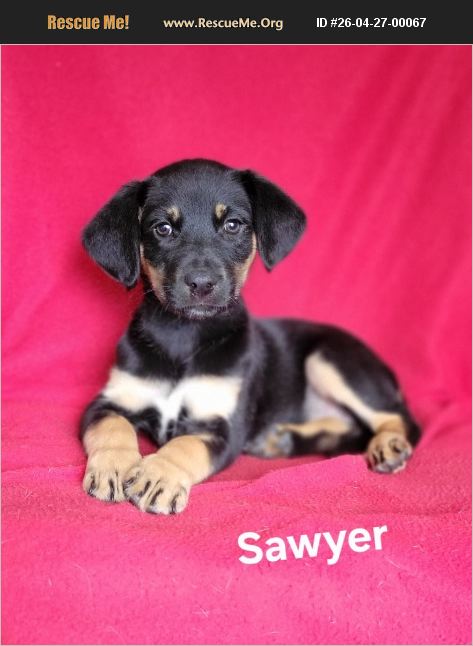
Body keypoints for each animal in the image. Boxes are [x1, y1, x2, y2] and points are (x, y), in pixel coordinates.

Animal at [80, 159, 421, 514]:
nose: (201, 284)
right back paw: (283, 441)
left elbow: (185, 445)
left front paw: (159, 475)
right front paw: (114, 467)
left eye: (232, 225)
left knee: (402, 420)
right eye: (163, 228)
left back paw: (388, 445)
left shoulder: (224, 427)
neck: (183, 335)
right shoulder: (108, 401)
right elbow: (112, 427)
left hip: (330, 358)